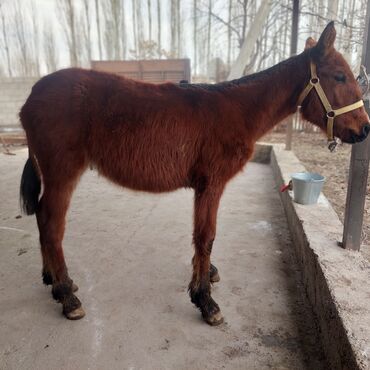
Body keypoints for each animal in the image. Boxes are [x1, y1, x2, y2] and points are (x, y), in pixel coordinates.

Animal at [19, 22, 368, 324]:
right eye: (339, 76)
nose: (364, 129)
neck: (239, 110)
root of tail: (31, 97)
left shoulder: (205, 187)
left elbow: (204, 236)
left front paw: (208, 276)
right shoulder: (211, 183)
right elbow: (206, 236)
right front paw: (205, 299)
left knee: (41, 218)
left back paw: (52, 280)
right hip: (62, 172)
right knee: (51, 224)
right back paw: (66, 295)